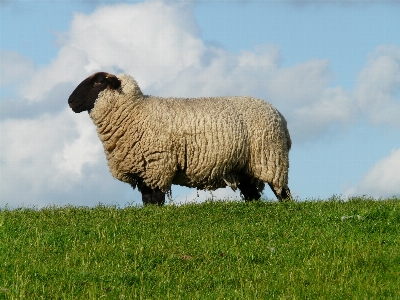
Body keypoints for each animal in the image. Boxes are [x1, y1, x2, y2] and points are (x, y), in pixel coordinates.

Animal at [69, 71, 292, 205]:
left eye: (98, 81)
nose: (70, 101)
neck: (134, 112)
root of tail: (280, 117)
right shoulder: (144, 170)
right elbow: (147, 200)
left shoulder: (157, 166)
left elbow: (156, 200)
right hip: (244, 167)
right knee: (252, 195)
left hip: (271, 158)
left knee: (282, 191)